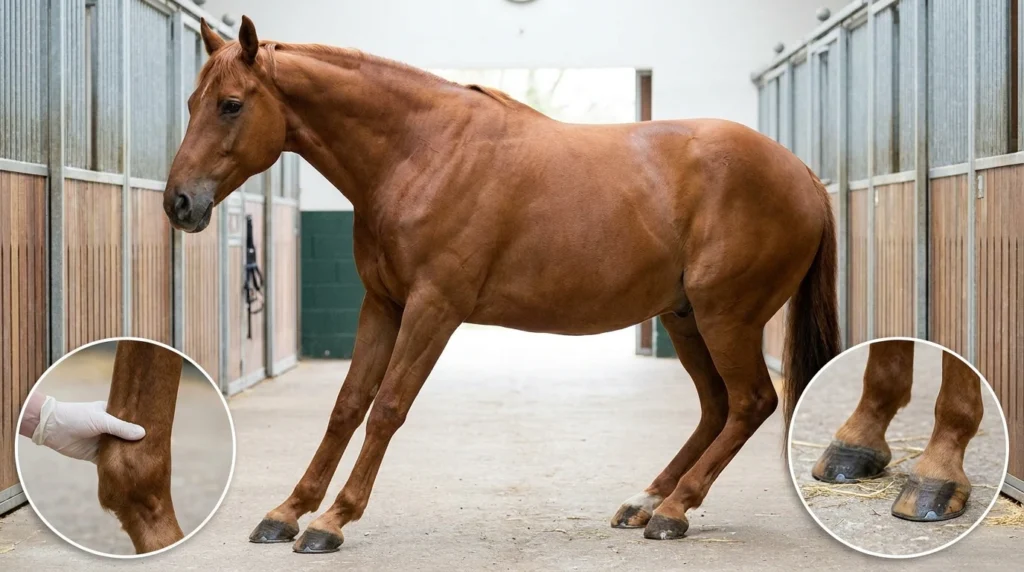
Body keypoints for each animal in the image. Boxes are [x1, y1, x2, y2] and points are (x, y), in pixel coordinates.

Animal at [163, 16, 840, 553]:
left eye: (230, 104)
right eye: (191, 102)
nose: (179, 203)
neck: (421, 153)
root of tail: (802, 173)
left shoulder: (433, 309)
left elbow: (387, 409)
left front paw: (332, 520)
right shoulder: (382, 304)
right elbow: (347, 407)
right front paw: (286, 512)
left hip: (727, 317)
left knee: (752, 402)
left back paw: (673, 511)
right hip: (685, 317)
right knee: (717, 406)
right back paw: (647, 501)